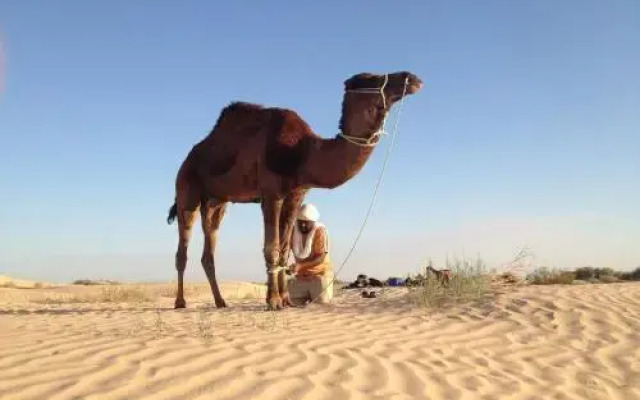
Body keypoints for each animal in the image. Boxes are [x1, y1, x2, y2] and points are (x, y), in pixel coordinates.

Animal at [168, 70, 422, 310]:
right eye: (373, 78)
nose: (411, 78)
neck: (303, 152)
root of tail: (188, 159)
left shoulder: (295, 194)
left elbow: (283, 249)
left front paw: (286, 299)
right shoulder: (271, 193)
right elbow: (271, 248)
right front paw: (273, 301)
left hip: (216, 201)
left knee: (208, 248)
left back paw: (220, 301)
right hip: (187, 189)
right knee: (182, 247)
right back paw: (180, 302)